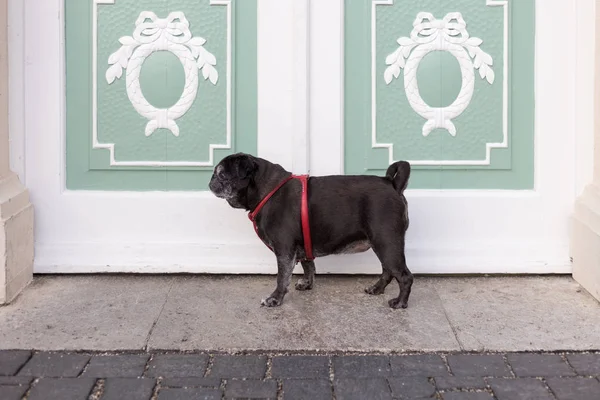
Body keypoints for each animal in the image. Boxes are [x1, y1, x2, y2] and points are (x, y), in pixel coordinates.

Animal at [207, 152, 412, 308]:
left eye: (222, 175)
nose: (210, 181)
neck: (266, 190)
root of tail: (392, 184)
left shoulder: (284, 251)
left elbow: (282, 278)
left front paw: (275, 298)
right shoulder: (303, 247)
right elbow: (308, 267)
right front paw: (307, 284)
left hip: (386, 243)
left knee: (404, 276)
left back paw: (400, 303)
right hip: (384, 245)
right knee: (388, 271)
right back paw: (377, 289)